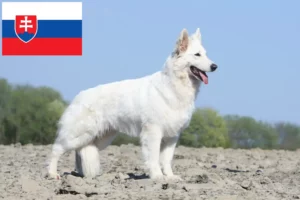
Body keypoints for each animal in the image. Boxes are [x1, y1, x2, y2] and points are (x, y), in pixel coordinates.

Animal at [47, 28, 217, 181]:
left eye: (206, 54)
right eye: (197, 55)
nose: (215, 66)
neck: (173, 85)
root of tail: (78, 96)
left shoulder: (172, 136)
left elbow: (166, 160)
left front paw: (170, 177)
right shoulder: (153, 133)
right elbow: (154, 158)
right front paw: (157, 177)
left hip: (98, 138)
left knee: (79, 152)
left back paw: (82, 175)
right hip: (78, 135)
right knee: (56, 150)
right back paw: (52, 174)